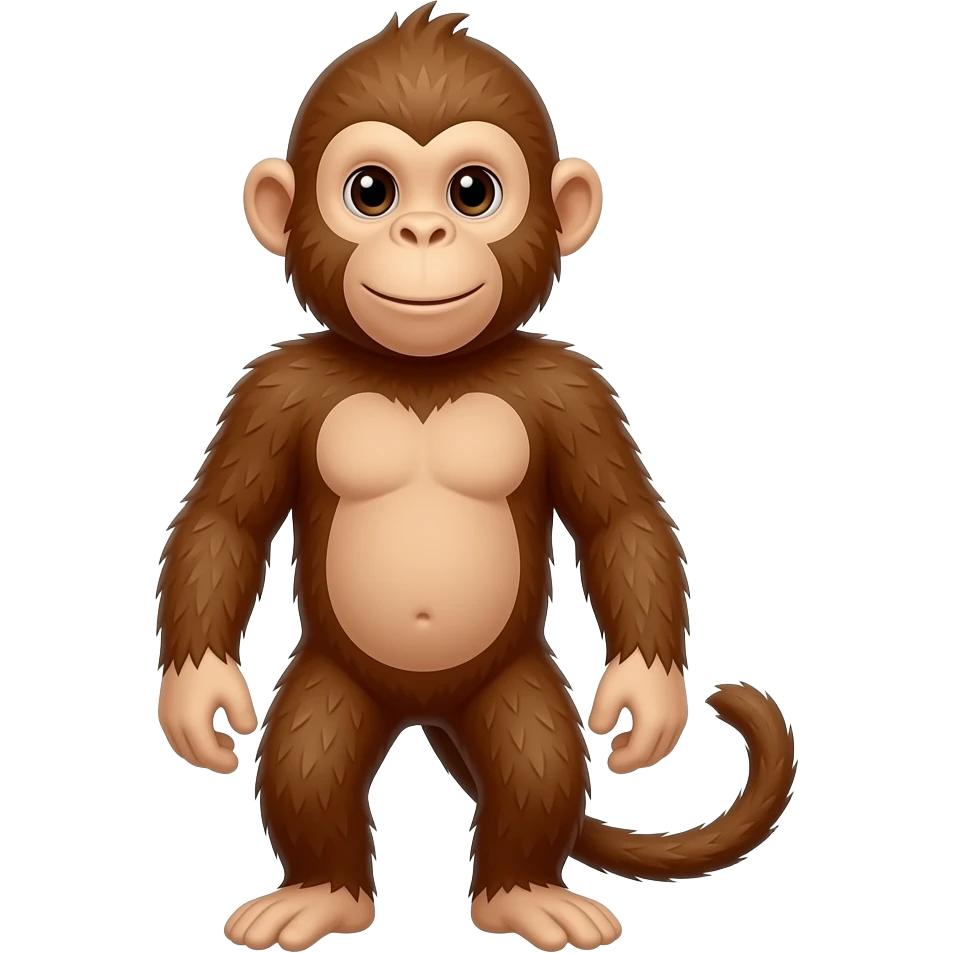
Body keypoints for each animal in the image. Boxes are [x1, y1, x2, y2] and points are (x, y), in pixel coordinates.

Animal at [155, 5, 798, 952]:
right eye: (372, 191)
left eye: (471, 192)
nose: (423, 234)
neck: (425, 373)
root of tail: (424, 710)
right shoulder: (271, 390)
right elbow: (223, 523)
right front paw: (198, 693)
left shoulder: (572, 390)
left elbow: (621, 522)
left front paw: (648, 693)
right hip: (335, 676)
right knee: (312, 751)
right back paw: (323, 892)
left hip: (513, 675)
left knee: (535, 755)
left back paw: (521, 892)